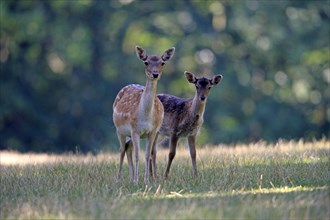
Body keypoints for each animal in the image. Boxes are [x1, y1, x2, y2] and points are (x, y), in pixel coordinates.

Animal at [113, 45, 175, 183]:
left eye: (162, 62)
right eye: (146, 62)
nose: (155, 74)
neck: (145, 116)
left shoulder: (152, 131)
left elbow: (147, 155)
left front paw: (145, 180)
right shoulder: (134, 130)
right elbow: (137, 155)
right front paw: (137, 181)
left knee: (128, 148)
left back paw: (131, 177)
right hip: (119, 129)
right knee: (121, 150)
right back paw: (119, 178)